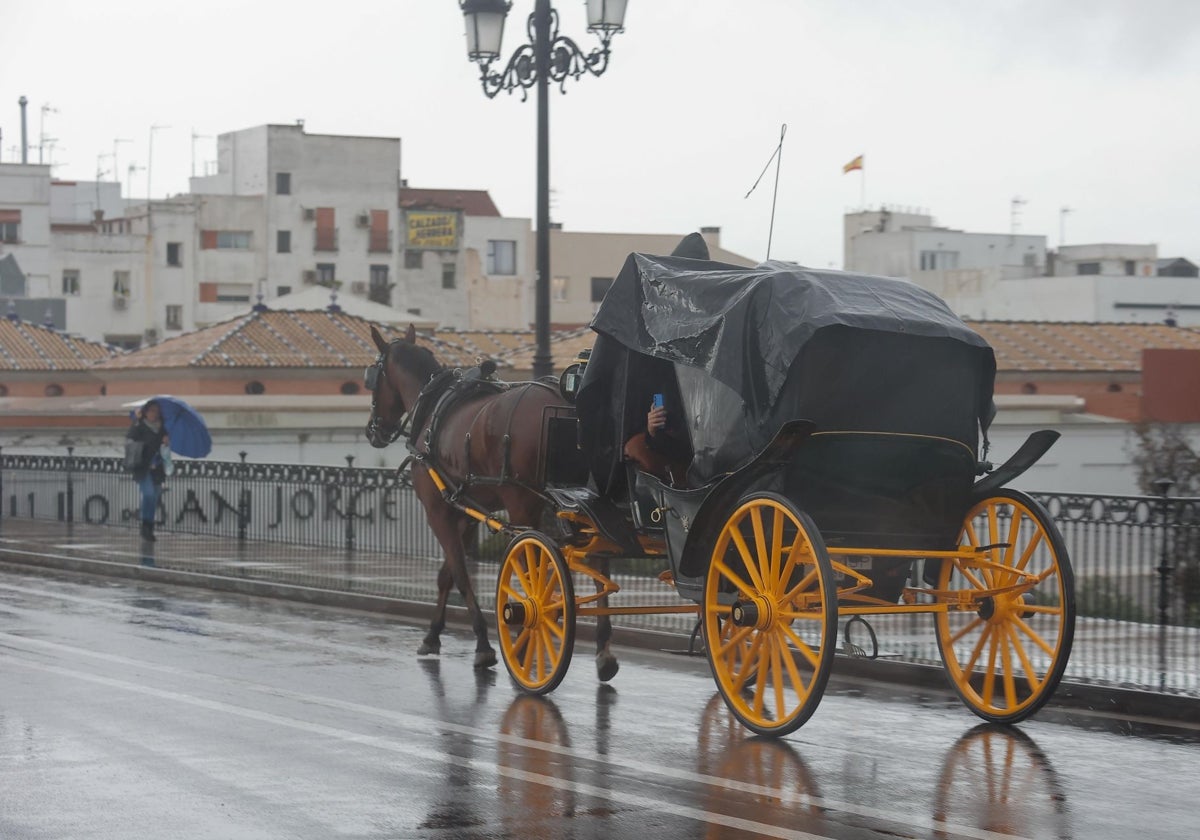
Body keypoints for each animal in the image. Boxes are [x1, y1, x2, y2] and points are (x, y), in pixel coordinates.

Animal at [362, 324, 619, 681]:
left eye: (372, 378)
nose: (372, 431)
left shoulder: (438, 512)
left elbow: (460, 574)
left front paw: (484, 644)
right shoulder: (465, 511)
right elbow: (447, 575)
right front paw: (433, 634)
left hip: (524, 506)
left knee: (534, 569)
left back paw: (526, 639)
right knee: (599, 563)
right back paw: (602, 649)